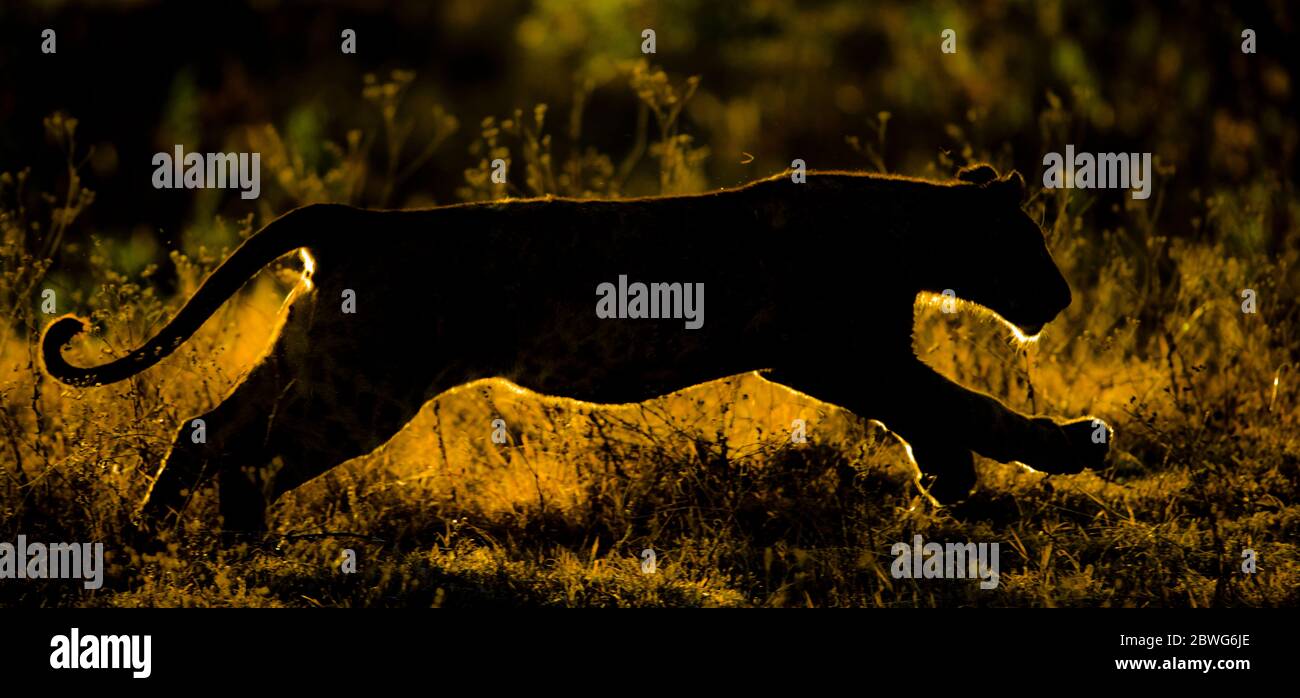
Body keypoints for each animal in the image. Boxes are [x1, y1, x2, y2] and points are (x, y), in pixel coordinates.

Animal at [41, 164, 1110, 533]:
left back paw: (159, 534)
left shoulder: (846, 354)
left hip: (315, 362)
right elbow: (949, 399)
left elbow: (927, 408)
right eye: (1030, 240)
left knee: (207, 430)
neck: (911, 235)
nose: (1060, 295)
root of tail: (351, 222)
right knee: (250, 455)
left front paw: (954, 482)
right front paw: (1068, 445)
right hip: (361, 392)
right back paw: (237, 540)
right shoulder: (826, 350)